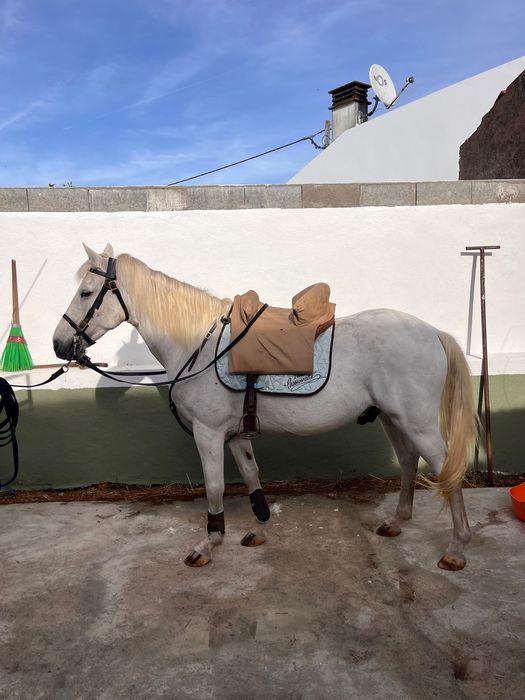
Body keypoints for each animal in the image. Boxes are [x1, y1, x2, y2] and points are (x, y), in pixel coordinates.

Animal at [53, 243, 478, 571]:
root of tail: (433, 332)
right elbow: (251, 475)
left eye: (87, 293)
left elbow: (215, 486)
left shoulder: (208, 432)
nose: (59, 345)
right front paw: (258, 529)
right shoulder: (235, 434)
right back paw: (397, 522)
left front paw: (208, 545)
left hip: (417, 423)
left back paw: (457, 549)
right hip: (393, 418)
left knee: (446, 469)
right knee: (408, 462)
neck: (199, 343)